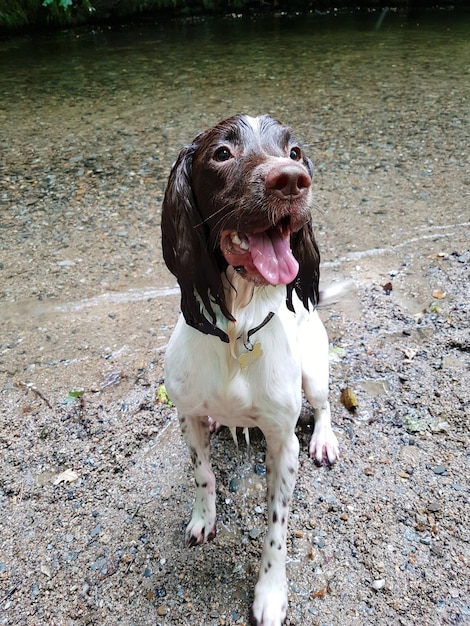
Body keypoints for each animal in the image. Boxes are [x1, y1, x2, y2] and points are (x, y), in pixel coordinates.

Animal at [161, 114, 338, 620]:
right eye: (222, 153)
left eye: (295, 152)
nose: (293, 180)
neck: (238, 332)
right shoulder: (186, 414)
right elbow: (203, 474)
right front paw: (204, 518)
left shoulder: (282, 443)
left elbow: (276, 528)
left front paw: (271, 593)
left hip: (314, 372)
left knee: (324, 406)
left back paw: (325, 438)